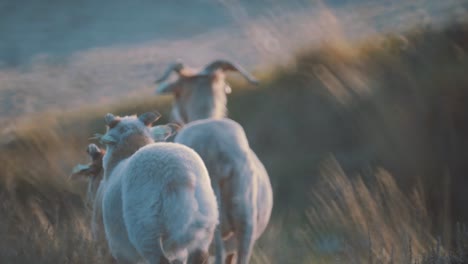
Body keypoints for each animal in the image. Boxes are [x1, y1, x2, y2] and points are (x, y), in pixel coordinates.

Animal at [98, 112, 218, 264]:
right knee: (199, 255)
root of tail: (179, 173)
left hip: (145, 228)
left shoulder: (121, 250)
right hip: (204, 225)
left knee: (160, 259)